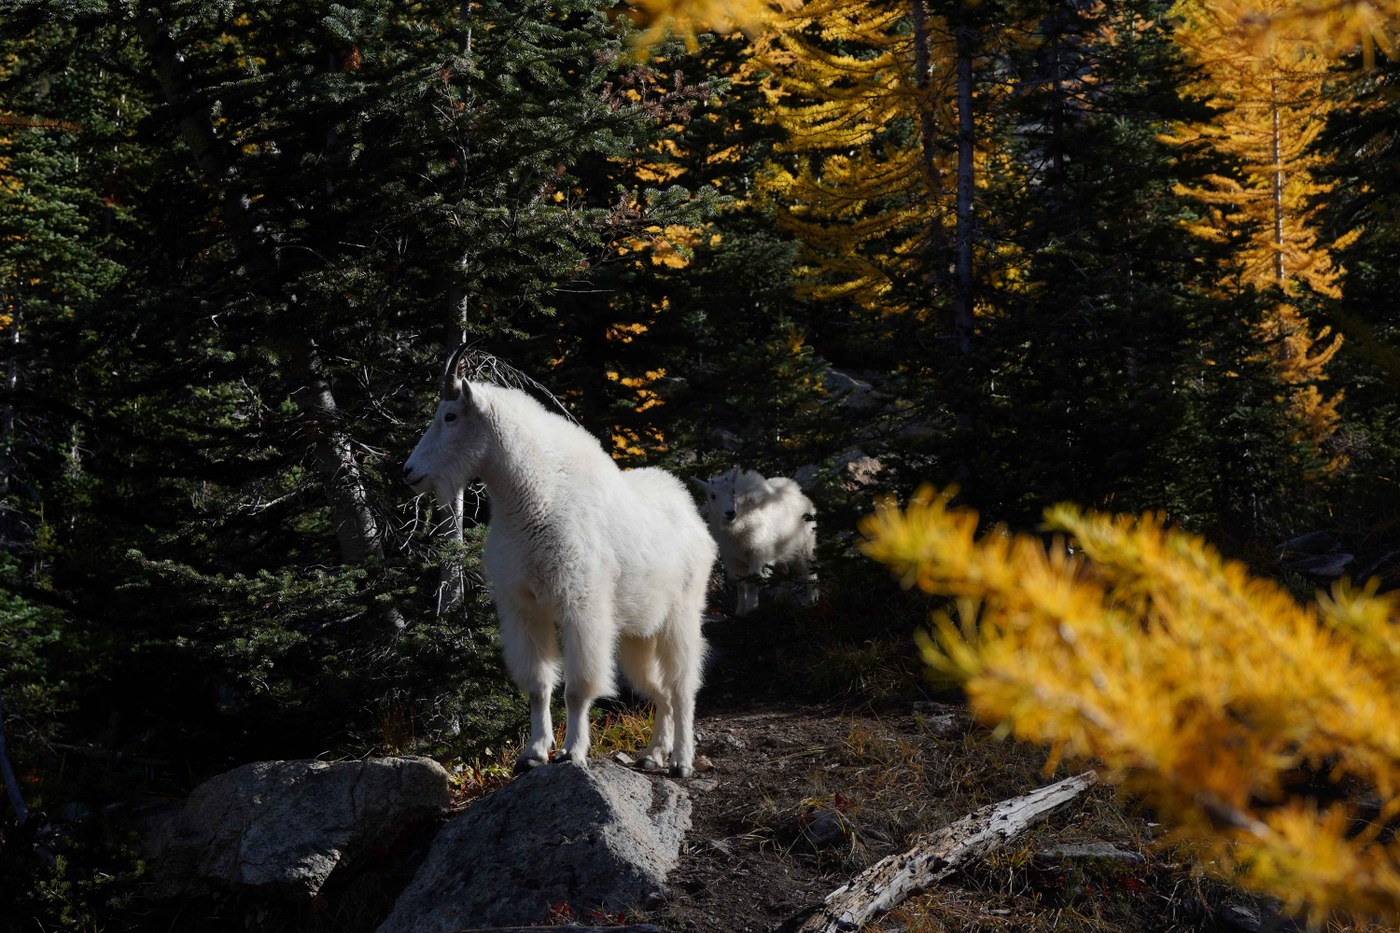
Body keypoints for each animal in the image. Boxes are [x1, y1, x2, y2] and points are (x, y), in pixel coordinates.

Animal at [403, 346, 715, 777]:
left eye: (450, 416)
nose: (409, 472)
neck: (534, 498)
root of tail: (695, 520)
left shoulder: (580, 607)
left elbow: (578, 687)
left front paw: (572, 751)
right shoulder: (525, 609)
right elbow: (538, 686)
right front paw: (533, 752)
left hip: (681, 616)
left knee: (682, 687)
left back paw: (681, 761)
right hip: (638, 634)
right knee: (658, 692)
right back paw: (653, 755)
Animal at [694, 467, 817, 616]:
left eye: (733, 491)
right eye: (713, 495)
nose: (730, 513)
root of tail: (802, 495)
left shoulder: (758, 554)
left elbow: (752, 582)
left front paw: (751, 609)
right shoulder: (732, 558)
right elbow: (740, 585)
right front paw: (739, 612)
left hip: (805, 544)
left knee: (810, 570)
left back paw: (811, 600)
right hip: (782, 549)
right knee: (785, 571)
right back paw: (780, 600)